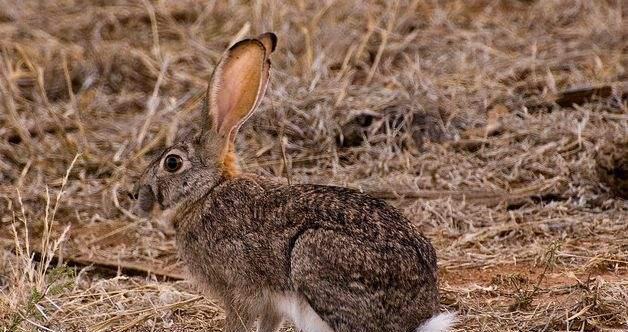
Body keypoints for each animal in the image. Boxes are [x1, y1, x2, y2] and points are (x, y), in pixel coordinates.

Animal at [134, 31, 456, 332]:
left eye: (172, 162)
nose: (136, 193)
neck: (207, 191)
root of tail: (418, 315)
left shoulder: (239, 292)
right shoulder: (272, 305)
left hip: (312, 255)